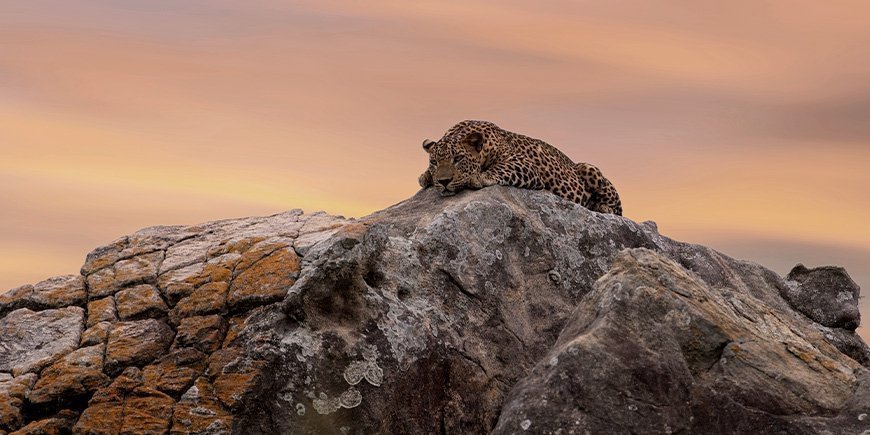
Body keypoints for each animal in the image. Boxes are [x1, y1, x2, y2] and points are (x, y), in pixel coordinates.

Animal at [418, 120, 623, 215]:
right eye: (434, 162)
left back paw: (601, 207)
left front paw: (479, 177)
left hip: (589, 169)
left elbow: (501, 168)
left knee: (617, 210)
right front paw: (426, 176)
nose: (444, 181)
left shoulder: (524, 164)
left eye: (459, 158)